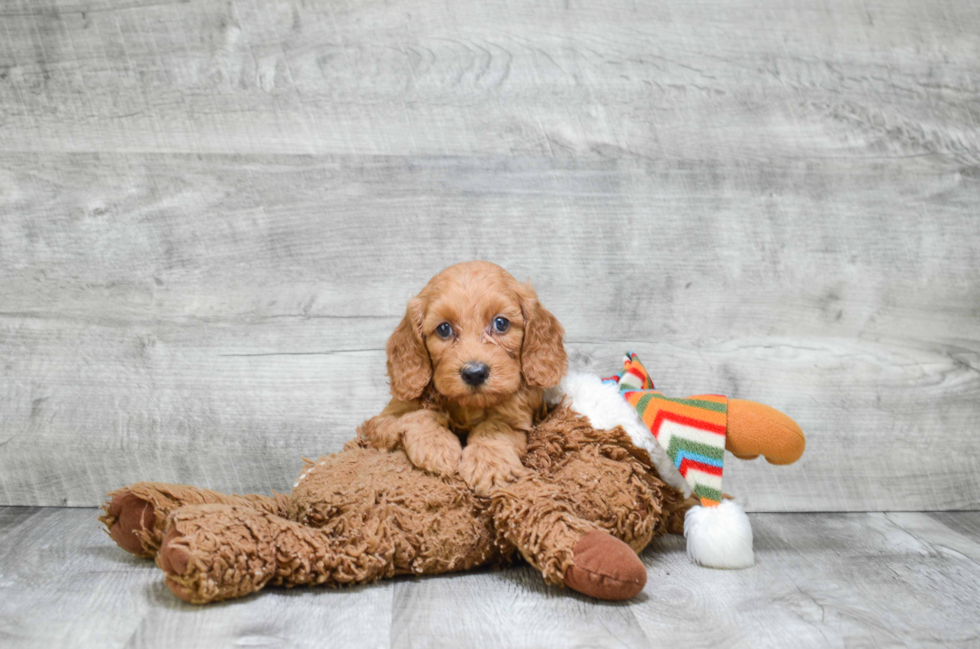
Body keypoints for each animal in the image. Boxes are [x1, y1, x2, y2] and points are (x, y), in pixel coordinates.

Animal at [358, 260, 568, 494]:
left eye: (501, 323)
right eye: (444, 329)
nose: (475, 373)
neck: (468, 405)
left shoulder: (518, 418)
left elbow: (494, 427)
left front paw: (488, 464)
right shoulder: (382, 420)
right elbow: (418, 415)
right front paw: (437, 446)